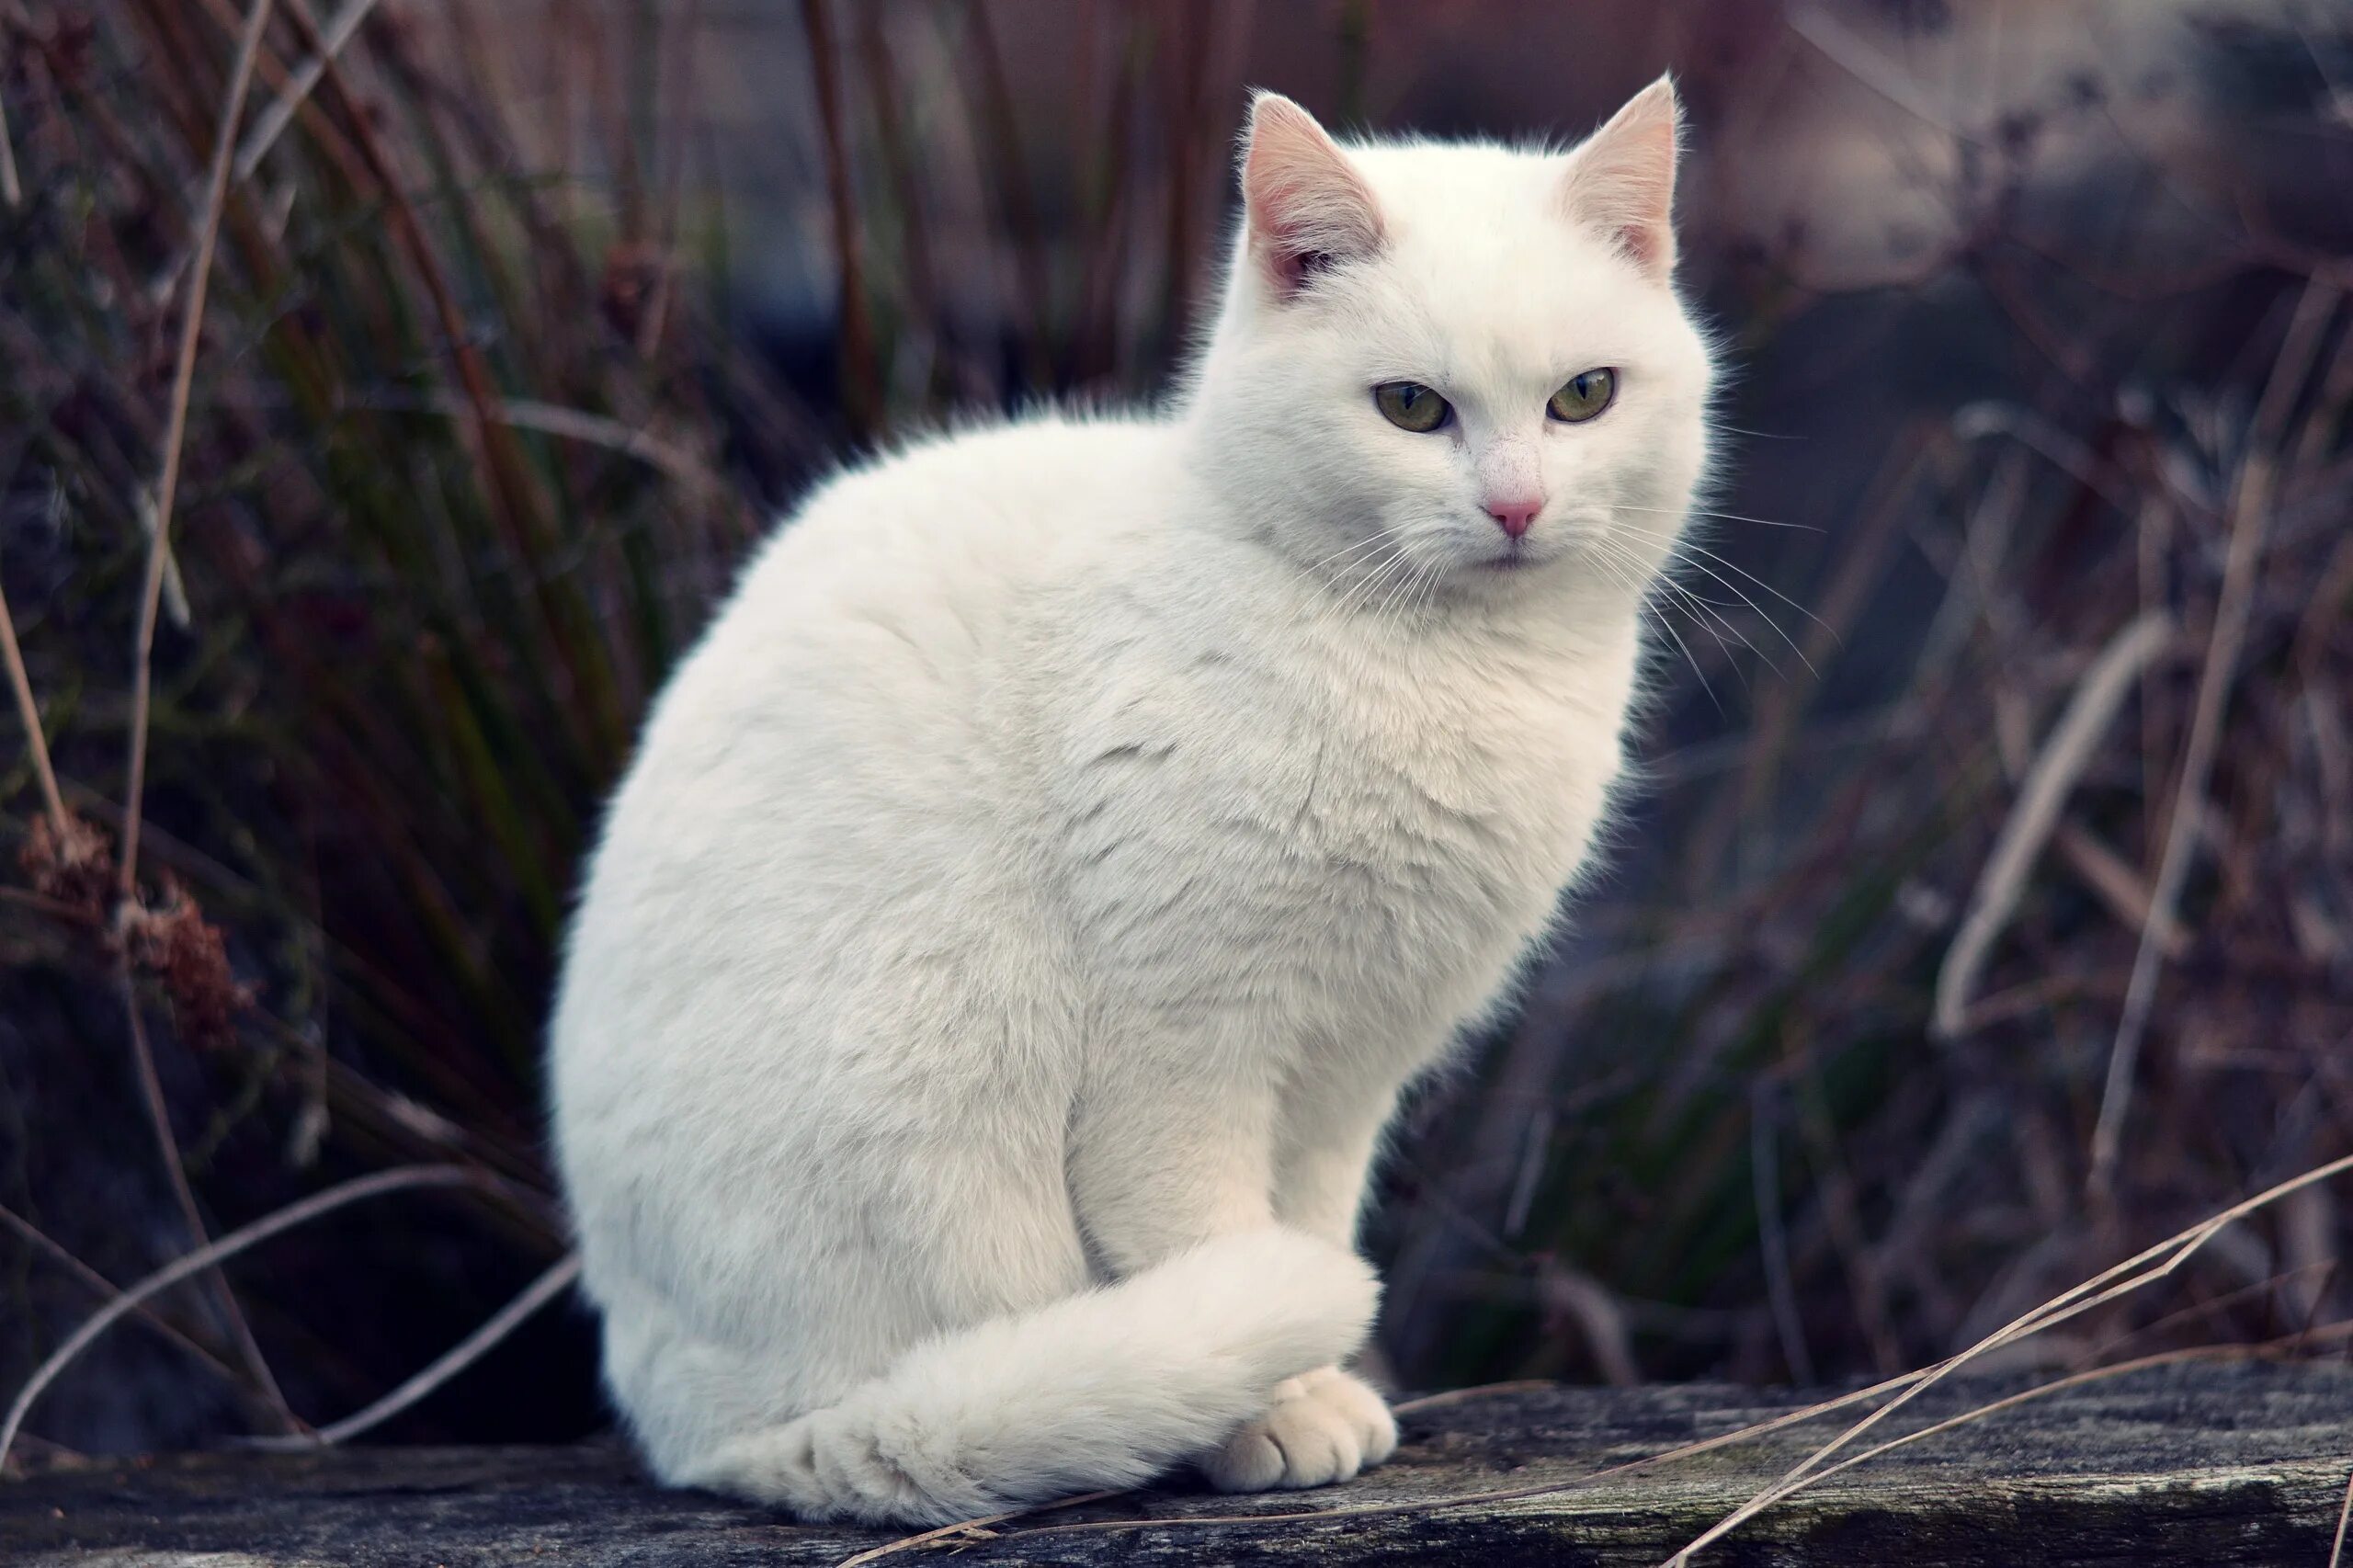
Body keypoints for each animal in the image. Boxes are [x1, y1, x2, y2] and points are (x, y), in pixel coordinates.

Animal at [548, 79, 1712, 1516]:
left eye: (1584, 396)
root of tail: (693, 1424)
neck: (1440, 670)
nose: (1515, 507)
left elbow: (1303, 1221)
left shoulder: (1345, 1073)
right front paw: (1274, 1415)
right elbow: (1205, 1236)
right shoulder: (1181, 1048)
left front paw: (1314, 1390)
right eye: (1409, 408)